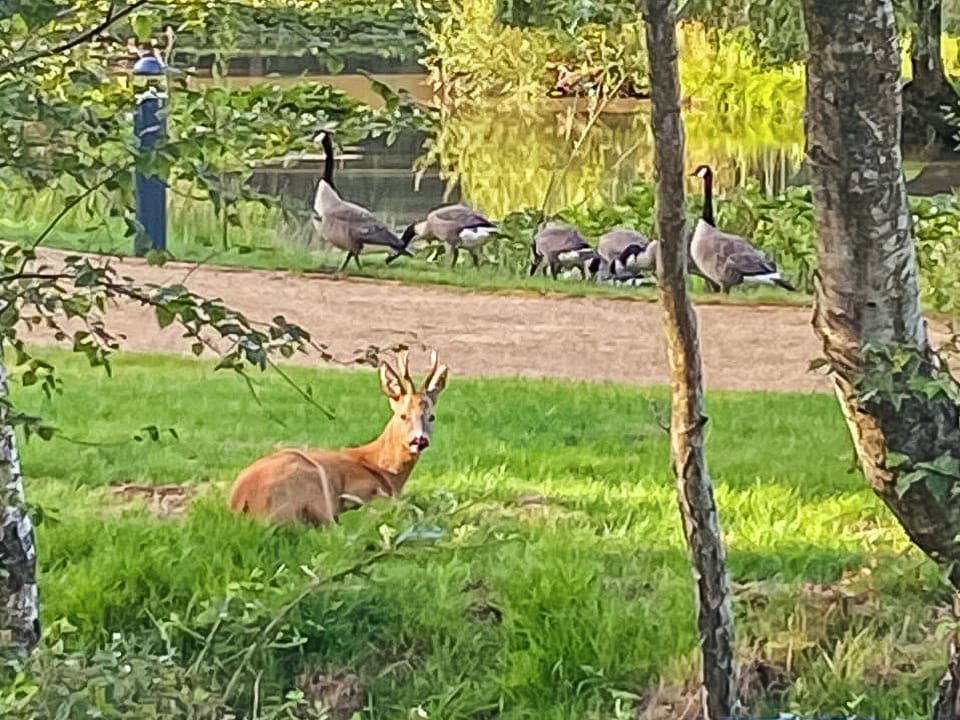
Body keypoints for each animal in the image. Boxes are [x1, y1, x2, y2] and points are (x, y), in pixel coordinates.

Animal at [228, 348, 449, 525]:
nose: (419, 440)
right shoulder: (365, 489)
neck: (386, 471)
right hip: (312, 484)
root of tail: (241, 501)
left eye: (432, 416)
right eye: (403, 415)